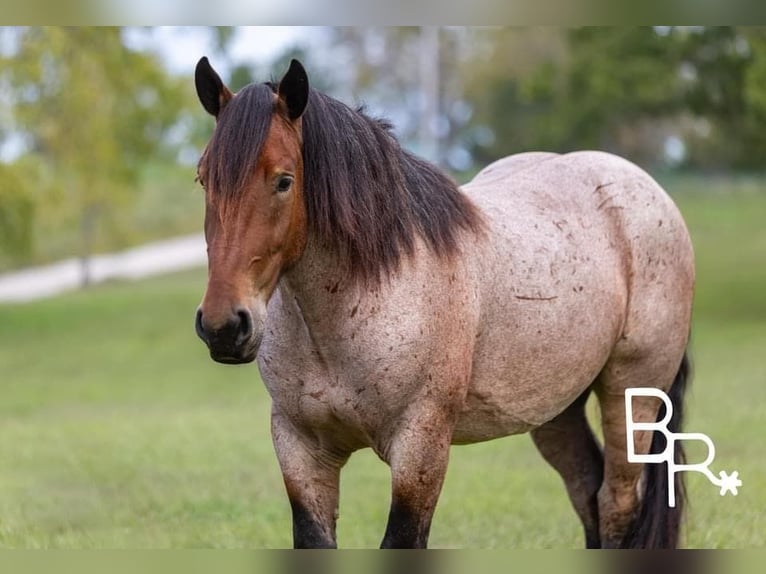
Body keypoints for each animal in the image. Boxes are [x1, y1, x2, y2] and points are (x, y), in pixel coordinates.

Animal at [190, 58, 696, 552]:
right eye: (203, 178)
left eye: (284, 181)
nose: (223, 326)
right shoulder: (300, 449)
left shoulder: (420, 449)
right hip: (556, 408)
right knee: (586, 489)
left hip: (631, 393)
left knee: (616, 503)